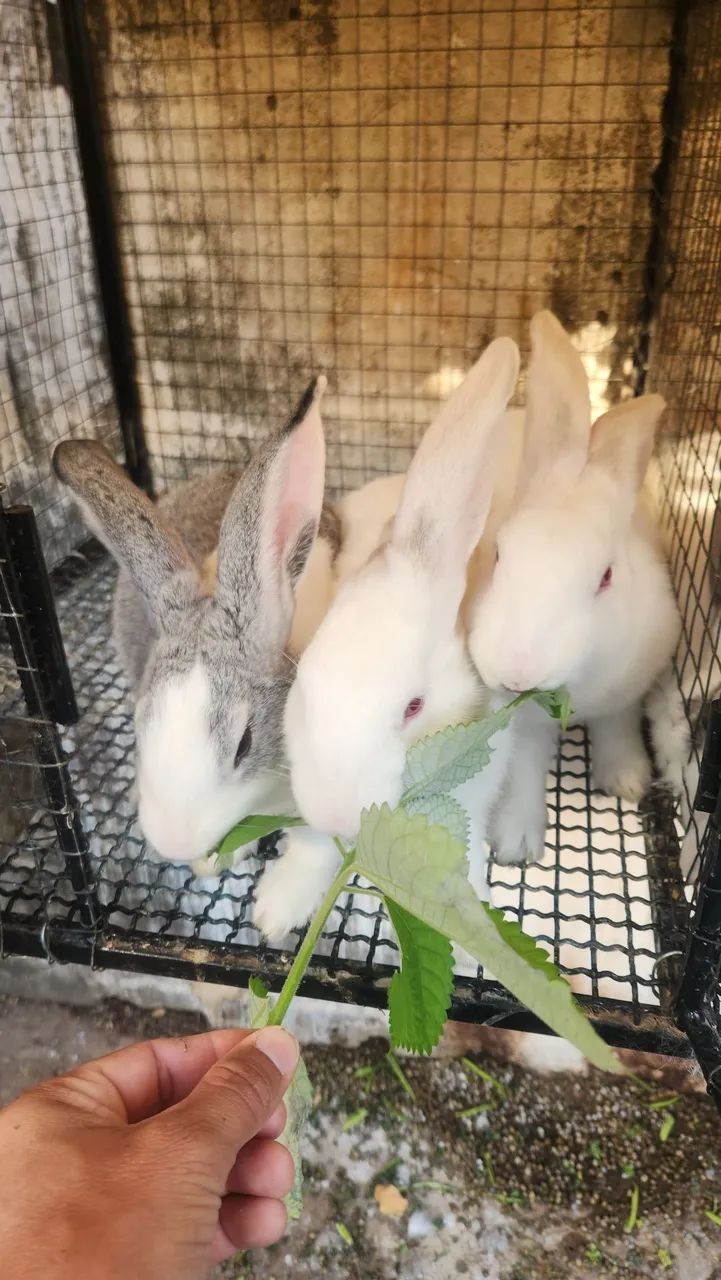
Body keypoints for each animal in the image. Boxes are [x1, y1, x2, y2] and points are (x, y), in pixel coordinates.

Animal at [469, 310, 685, 865]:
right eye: (498, 553)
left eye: (605, 577)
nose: (517, 671)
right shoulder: (522, 723)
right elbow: (523, 771)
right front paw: (516, 844)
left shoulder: (627, 692)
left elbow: (618, 729)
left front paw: (627, 781)